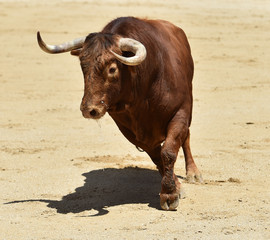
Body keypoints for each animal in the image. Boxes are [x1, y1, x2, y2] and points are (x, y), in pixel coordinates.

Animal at [37, 16, 202, 211]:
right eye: (83, 67)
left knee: (186, 138)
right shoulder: (130, 130)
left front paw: (170, 195)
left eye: (112, 69)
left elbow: (168, 151)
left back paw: (194, 173)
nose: (89, 109)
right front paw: (175, 187)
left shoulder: (180, 113)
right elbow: (157, 156)